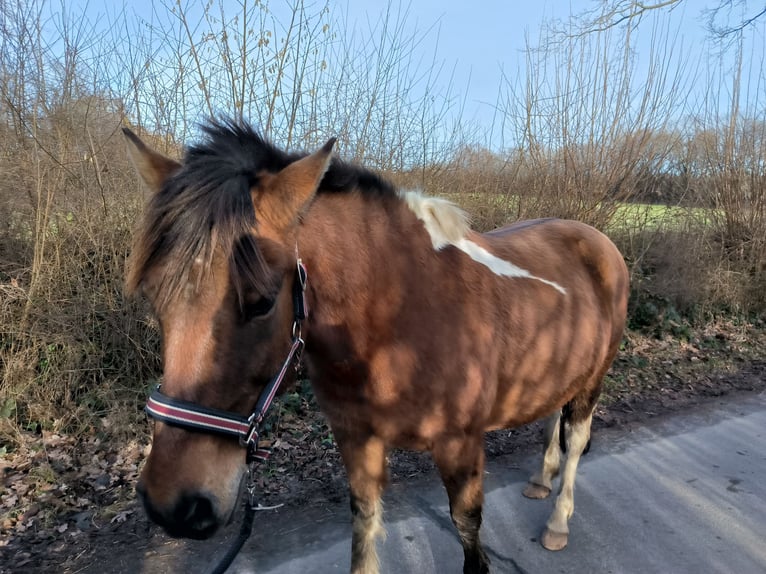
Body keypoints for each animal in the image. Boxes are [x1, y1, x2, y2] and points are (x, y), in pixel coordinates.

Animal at [123, 119, 629, 574]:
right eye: (152, 296)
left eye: (262, 301)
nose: (174, 505)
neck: (399, 320)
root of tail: (596, 240)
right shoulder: (356, 439)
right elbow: (364, 528)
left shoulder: (461, 447)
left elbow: (468, 531)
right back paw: (540, 481)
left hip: (594, 380)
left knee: (575, 439)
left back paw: (557, 522)